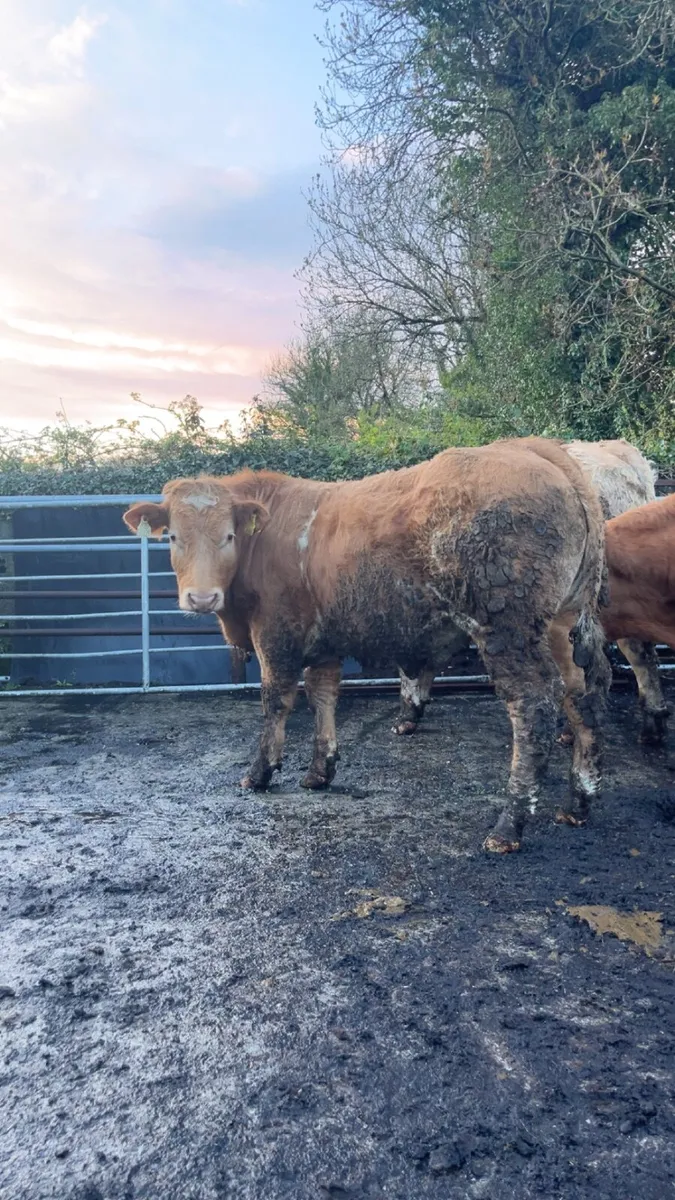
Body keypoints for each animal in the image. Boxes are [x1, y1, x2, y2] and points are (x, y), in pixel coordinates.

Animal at [123, 437, 610, 853]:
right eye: (173, 537)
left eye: (228, 536)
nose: (202, 598)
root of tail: (538, 450)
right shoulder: (322, 642)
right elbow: (323, 696)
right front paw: (320, 771)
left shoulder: (275, 633)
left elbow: (276, 701)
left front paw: (259, 773)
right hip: (563, 622)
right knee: (583, 694)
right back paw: (578, 803)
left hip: (507, 627)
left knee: (533, 706)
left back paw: (509, 825)